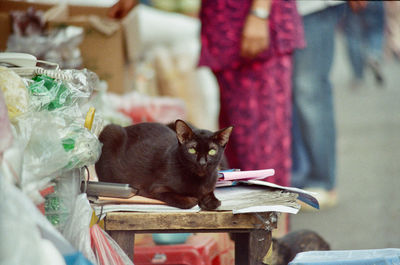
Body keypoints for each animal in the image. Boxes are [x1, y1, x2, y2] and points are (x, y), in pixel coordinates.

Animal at [94, 118, 233, 209]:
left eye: (212, 151)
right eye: (192, 150)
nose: (203, 162)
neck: (199, 181)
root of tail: (126, 127)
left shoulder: (210, 186)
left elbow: (214, 200)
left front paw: (208, 201)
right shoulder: (154, 189)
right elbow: (186, 201)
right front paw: (194, 200)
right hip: (111, 131)